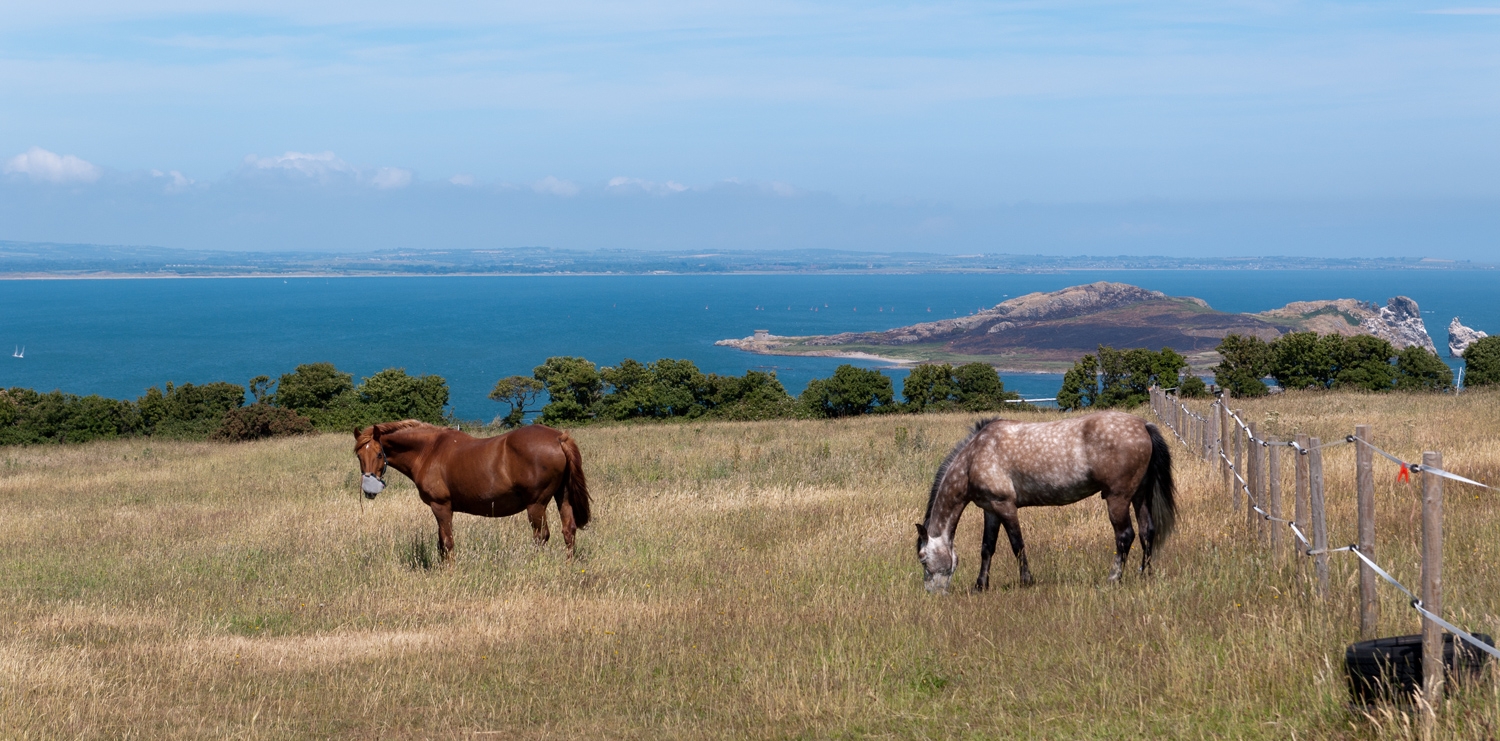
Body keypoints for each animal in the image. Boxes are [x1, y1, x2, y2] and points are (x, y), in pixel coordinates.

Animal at [354, 420, 592, 561]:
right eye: (358, 455)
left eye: (378, 454)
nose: (369, 490)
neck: (429, 450)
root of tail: (559, 438)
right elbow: (441, 542)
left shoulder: (441, 506)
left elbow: (447, 542)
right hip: (563, 496)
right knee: (568, 531)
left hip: (536, 504)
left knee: (541, 536)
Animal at [916, 411, 1175, 593]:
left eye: (922, 558)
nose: (932, 593)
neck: (974, 457)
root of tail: (1143, 425)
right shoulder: (990, 510)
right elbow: (987, 548)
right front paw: (980, 585)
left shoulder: (1005, 506)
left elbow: (1017, 545)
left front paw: (1026, 581)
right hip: (1139, 495)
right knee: (1146, 531)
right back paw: (1145, 575)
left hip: (1117, 498)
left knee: (1125, 536)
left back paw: (1113, 578)